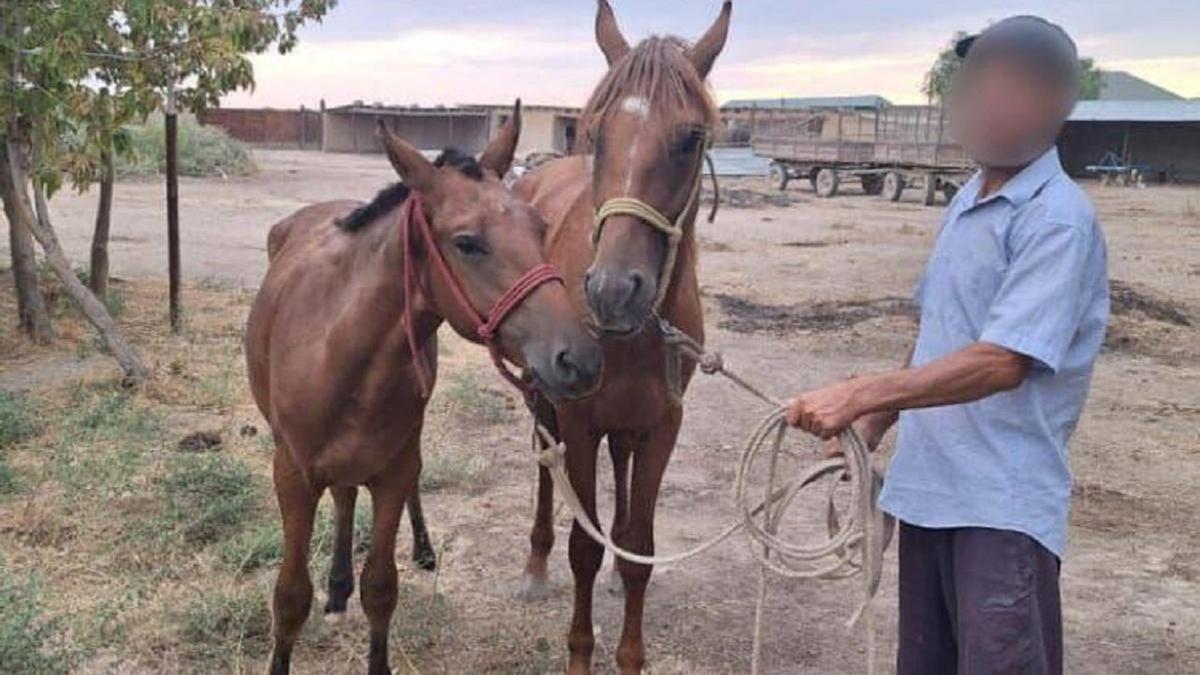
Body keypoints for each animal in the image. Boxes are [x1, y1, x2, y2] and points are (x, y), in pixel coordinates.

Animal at [244, 100, 604, 672]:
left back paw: (411, 553)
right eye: (466, 243)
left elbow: (381, 588)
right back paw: (337, 587)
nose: (579, 359)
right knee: (344, 494)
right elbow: (290, 597)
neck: (337, 351)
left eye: (540, 227)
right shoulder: (293, 478)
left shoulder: (394, 472)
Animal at [508, 2, 724, 667]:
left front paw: (630, 655)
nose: (611, 291)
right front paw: (580, 653)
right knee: (544, 467)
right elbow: (583, 545)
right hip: (544, 397)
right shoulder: (579, 420)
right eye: (593, 132)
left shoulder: (663, 425)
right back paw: (535, 564)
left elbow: (640, 550)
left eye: (692, 137)